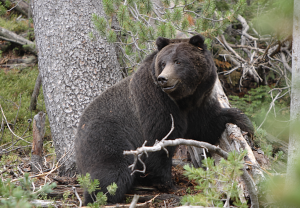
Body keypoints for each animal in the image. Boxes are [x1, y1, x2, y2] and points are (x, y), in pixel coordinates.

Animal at [75, 34, 253, 205]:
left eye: (178, 61)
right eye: (163, 63)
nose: (163, 79)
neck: (183, 99)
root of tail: (78, 133)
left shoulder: (198, 104)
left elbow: (207, 126)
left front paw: (242, 120)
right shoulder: (156, 103)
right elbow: (159, 141)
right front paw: (168, 184)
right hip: (106, 136)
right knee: (114, 170)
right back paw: (101, 197)